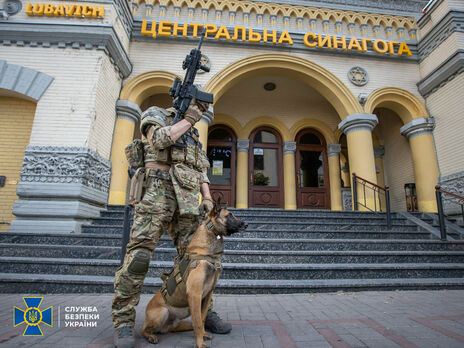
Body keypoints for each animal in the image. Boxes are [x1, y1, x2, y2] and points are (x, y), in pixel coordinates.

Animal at [143, 201, 248, 348]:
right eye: (229, 216)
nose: (246, 224)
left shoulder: (208, 294)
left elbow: (202, 318)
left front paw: (203, 335)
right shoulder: (195, 294)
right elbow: (198, 322)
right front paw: (200, 343)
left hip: (180, 320)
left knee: (185, 325)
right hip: (162, 313)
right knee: (144, 329)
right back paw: (150, 336)